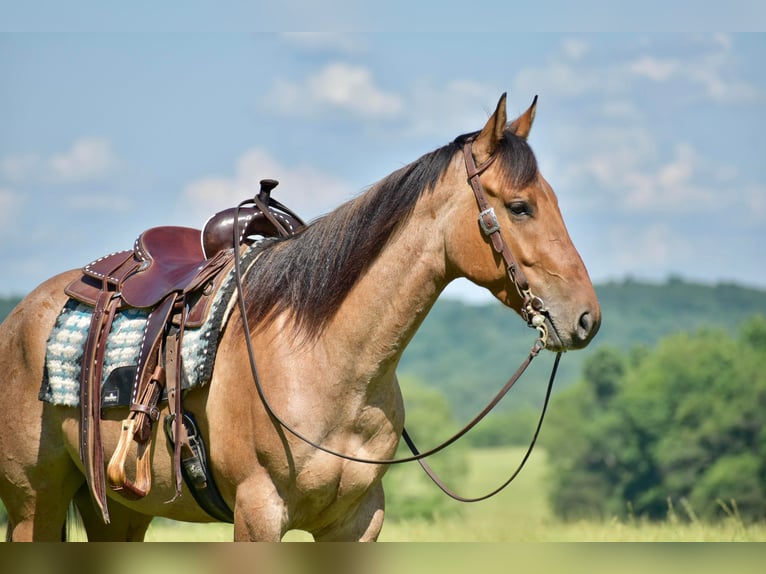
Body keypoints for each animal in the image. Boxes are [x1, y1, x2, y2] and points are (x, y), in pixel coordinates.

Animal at [0, 92, 600, 544]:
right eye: (519, 206)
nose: (586, 318)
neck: (326, 359)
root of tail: (19, 316)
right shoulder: (259, 513)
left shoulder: (357, 523)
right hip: (36, 503)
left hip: (120, 511)